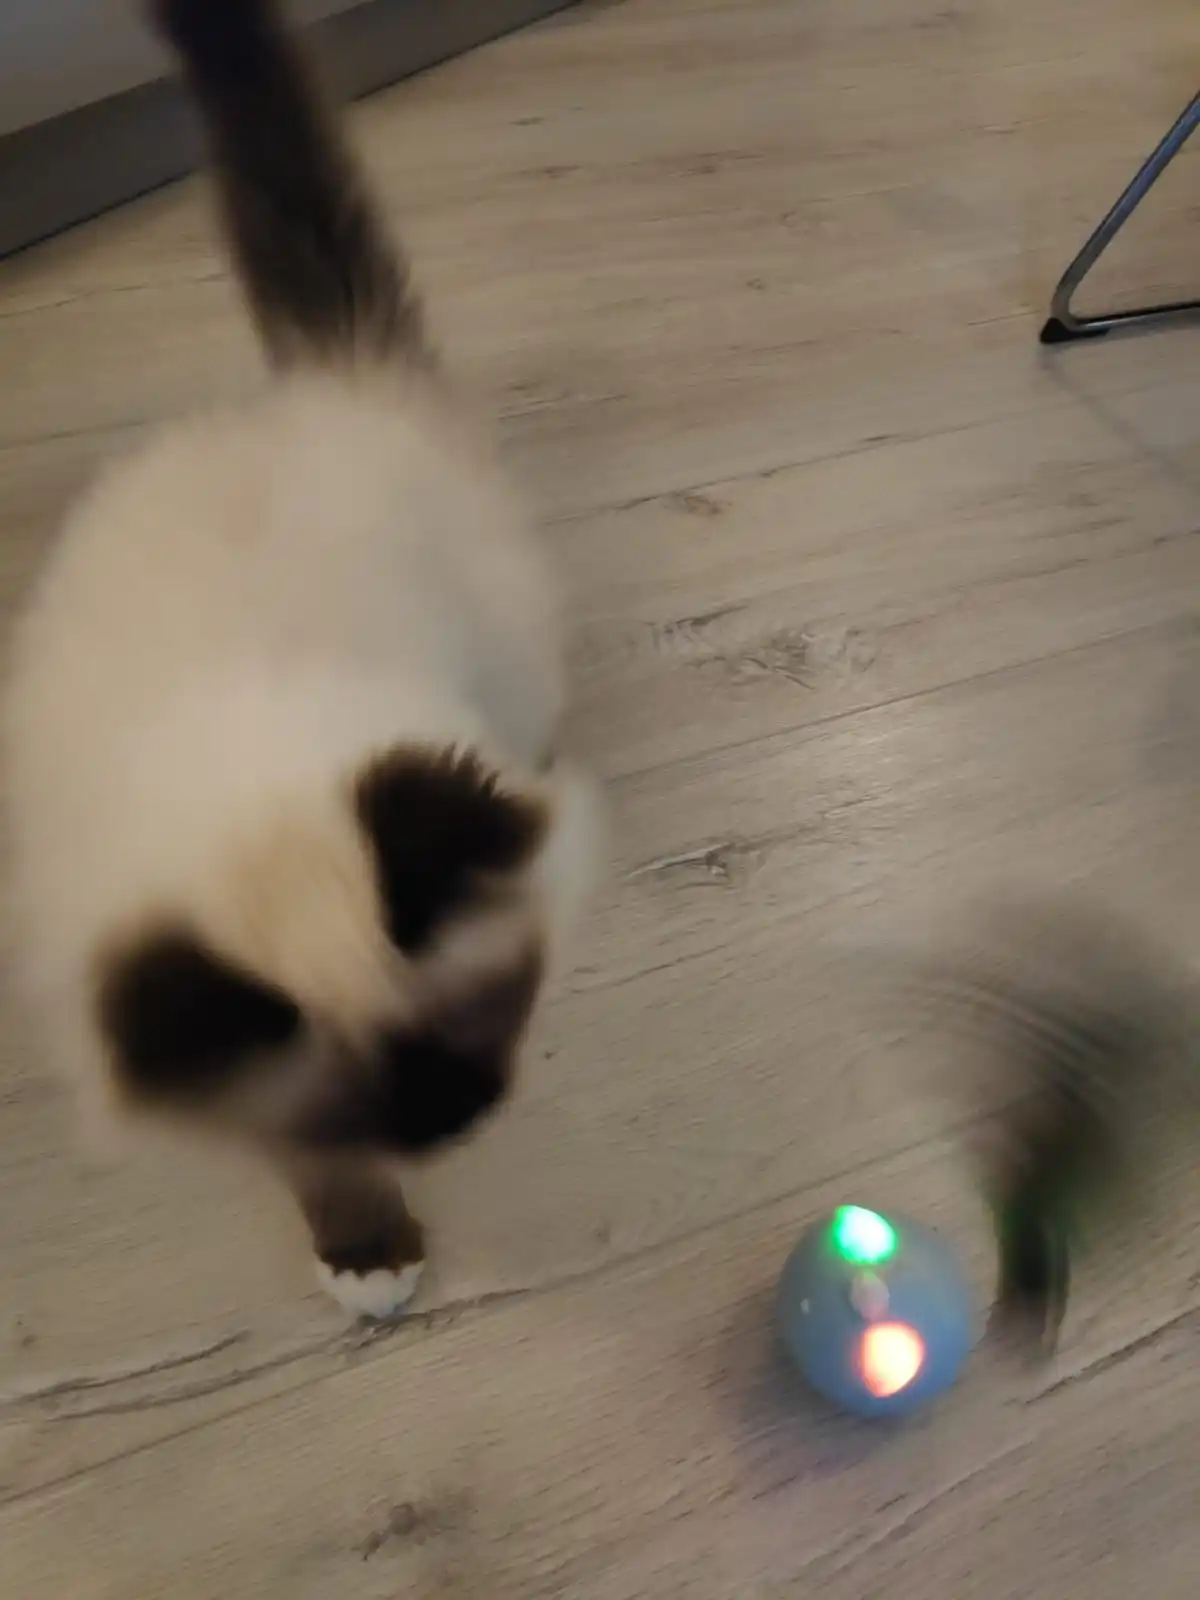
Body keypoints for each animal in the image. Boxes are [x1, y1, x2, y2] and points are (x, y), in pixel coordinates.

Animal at [2, 0, 597, 1319]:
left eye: (485, 1022)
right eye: (363, 1106)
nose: (462, 1120)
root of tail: (330, 383)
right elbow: (305, 1168)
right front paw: (369, 1253)